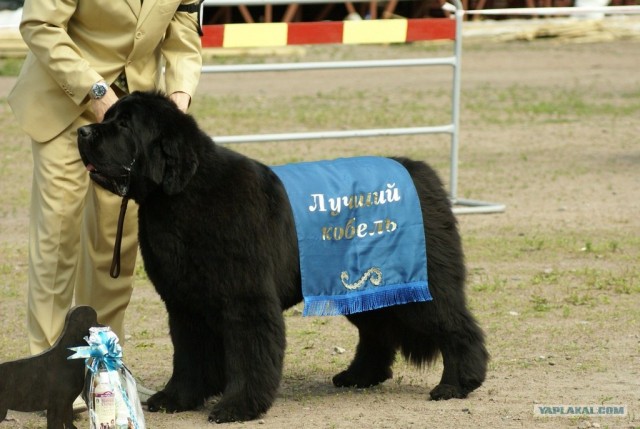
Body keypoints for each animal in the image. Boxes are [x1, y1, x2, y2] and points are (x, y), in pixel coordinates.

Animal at [77, 90, 488, 422]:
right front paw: (177, 398)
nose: (83, 132)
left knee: (456, 325)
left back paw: (458, 383)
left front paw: (237, 407)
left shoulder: (246, 300)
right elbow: (189, 355)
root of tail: (422, 173)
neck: (182, 196)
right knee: (377, 331)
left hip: (420, 283)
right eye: (108, 116)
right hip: (357, 288)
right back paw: (360, 376)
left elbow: (250, 355)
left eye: (125, 125)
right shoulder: (185, 304)